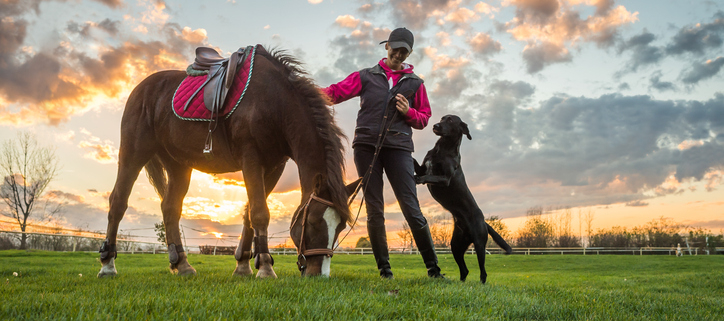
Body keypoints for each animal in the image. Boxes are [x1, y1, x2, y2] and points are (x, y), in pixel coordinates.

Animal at [99, 45, 362, 278]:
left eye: (340, 226)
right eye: (315, 222)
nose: (320, 274)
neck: (274, 101)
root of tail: (142, 88)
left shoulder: (274, 167)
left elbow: (248, 213)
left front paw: (244, 266)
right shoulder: (251, 159)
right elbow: (259, 212)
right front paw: (265, 268)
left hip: (178, 165)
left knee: (170, 208)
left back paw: (182, 265)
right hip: (133, 154)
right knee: (118, 203)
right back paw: (108, 265)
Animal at [416, 115, 512, 282]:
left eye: (450, 120)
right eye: (442, 118)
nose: (435, 125)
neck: (442, 149)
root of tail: (484, 222)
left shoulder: (445, 178)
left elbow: (428, 176)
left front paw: (418, 179)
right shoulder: (424, 166)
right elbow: (416, 165)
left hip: (479, 244)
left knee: (483, 272)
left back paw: (481, 284)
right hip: (456, 246)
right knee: (464, 270)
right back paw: (460, 283)